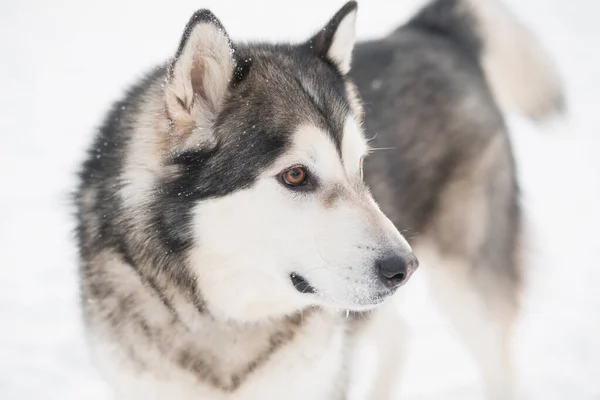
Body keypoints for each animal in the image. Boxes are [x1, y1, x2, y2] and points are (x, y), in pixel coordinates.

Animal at [75, 1, 564, 398]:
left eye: (360, 166)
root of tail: (430, 29)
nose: (404, 268)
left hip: (469, 288)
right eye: (295, 175)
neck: (225, 316)